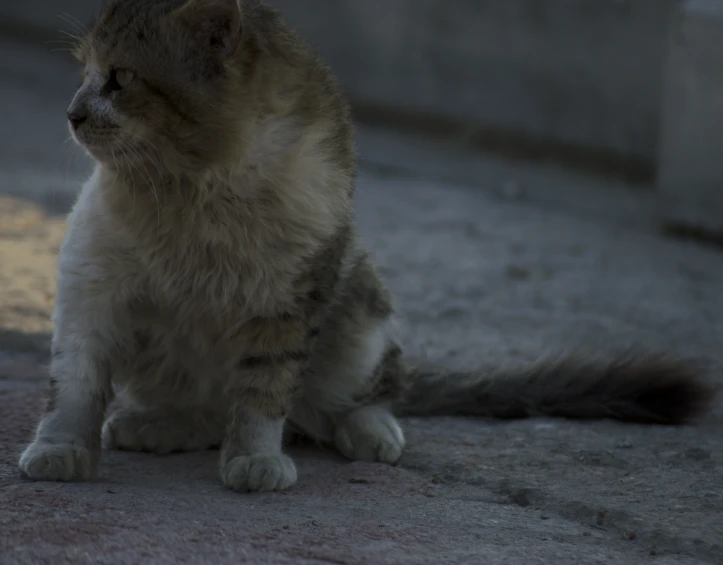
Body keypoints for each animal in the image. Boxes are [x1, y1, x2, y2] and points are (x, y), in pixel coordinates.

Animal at [18, 0, 720, 492]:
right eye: (85, 73)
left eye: (120, 78)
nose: (72, 113)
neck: (192, 194)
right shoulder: (91, 280)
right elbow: (74, 382)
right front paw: (60, 447)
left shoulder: (290, 297)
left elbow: (262, 394)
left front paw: (255, 459)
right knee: (207, 407)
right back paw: (156, 423)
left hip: (357, 304)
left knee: (354, 397)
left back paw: (370, 429)